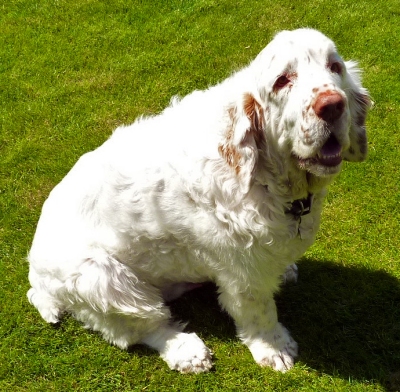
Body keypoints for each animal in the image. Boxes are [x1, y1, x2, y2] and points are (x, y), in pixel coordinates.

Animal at [27, 28, 372, 374]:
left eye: (335, 67)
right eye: (282, 81)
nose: (332, 105)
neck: (263, 173)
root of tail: (35, 275)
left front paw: (285, 269)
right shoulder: (242, 272)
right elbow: (258, 311)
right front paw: (275, 348)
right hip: (104, 281)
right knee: (140, 327)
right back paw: (187, 352)